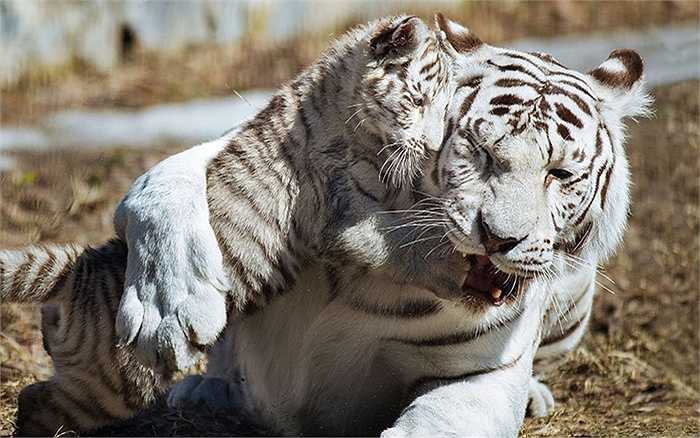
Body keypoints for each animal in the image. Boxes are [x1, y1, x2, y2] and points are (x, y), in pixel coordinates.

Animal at [115, 14, 652, 438]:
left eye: (558, 174)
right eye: (479, 151)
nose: (498, 238)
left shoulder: (483, 376)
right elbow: (161, 183)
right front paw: (165, 312)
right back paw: (204, 387)